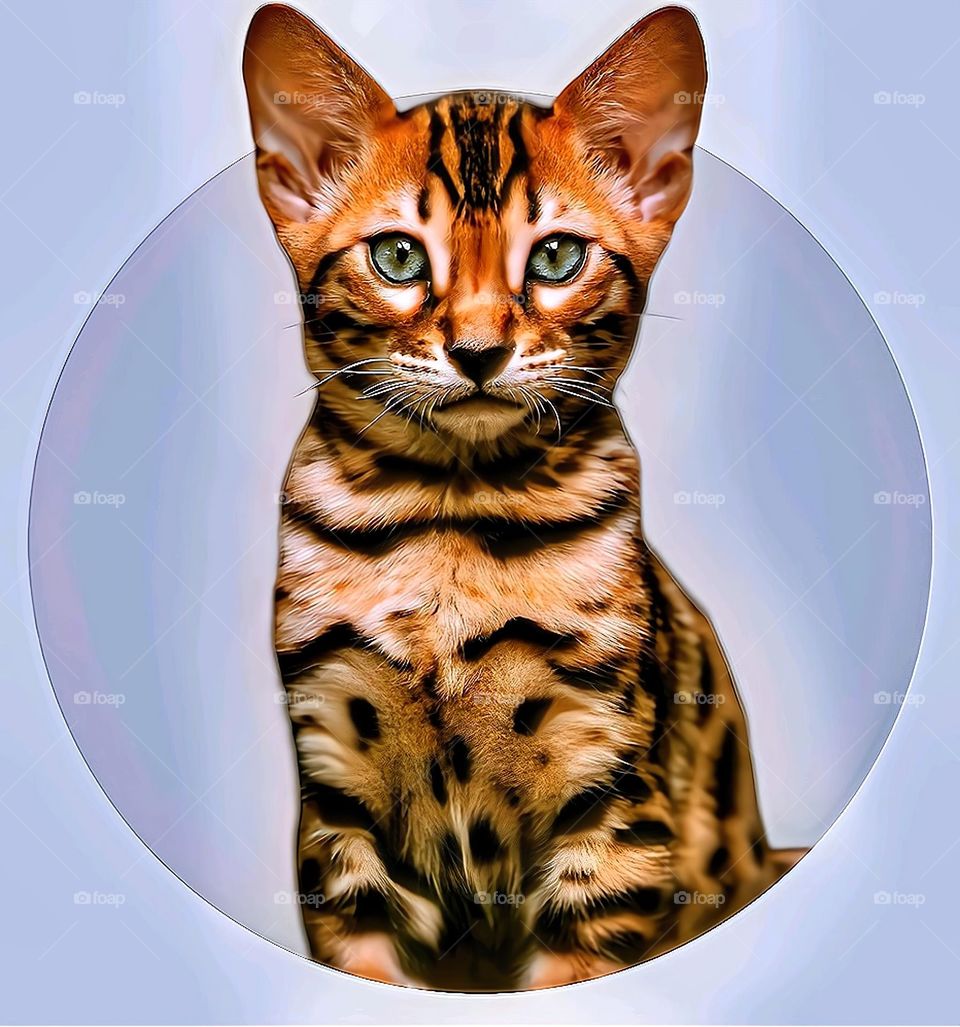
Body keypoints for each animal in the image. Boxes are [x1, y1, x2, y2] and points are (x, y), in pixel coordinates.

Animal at [241, 2, 805, 992]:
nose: (477, 350)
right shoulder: (336, 799)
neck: (451, 517)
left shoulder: (610, 801)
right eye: (398, 257)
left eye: (557, 256)